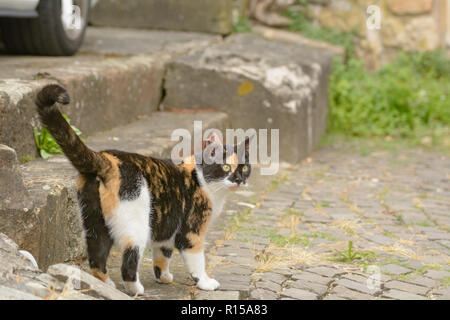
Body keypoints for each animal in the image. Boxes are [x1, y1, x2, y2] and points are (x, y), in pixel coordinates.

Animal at [35, 84, 253, 296]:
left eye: (244, 168)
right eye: (226, 167)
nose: (239, 179)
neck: (202, 179)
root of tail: (108, 159)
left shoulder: (168, 226)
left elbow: (163, 254)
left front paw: (163, 276)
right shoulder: (192, 231)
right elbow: (196, 261)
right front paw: (205, 282)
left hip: (95, 223)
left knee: (97, 257)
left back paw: (106, 286)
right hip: (137, 223)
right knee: (129, 261)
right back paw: (135, 289)